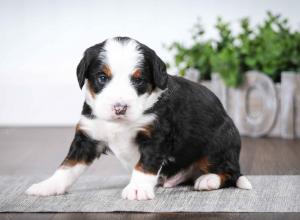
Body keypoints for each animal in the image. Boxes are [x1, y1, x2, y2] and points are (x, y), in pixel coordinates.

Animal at [25, 37, 252, 200]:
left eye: (139, 80)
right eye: (102, 77)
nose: (119, 107)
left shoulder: (156, 135)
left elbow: (144, 165)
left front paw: (137, 189)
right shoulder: (87, 137)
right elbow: (68, 166)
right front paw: (48, 186)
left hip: (218, 143)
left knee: (231, 173)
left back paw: (208, 180)